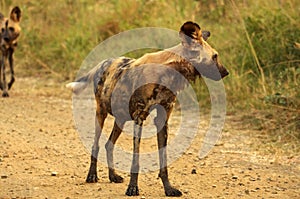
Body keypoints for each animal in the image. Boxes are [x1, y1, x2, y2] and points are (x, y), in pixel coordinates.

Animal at [67, 21, 229, 196]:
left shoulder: (162, 120)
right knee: (95, 144)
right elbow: (135, 161)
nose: (226, 72)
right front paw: (132, 188)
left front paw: (168, 188)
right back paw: (92, 175)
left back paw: (113, 176)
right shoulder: (139, 118)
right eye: (215, 56)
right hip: (101, 113)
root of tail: (103, 62)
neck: (169, 74)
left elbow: (163, 162)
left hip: (121, 119)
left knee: (109, 144)